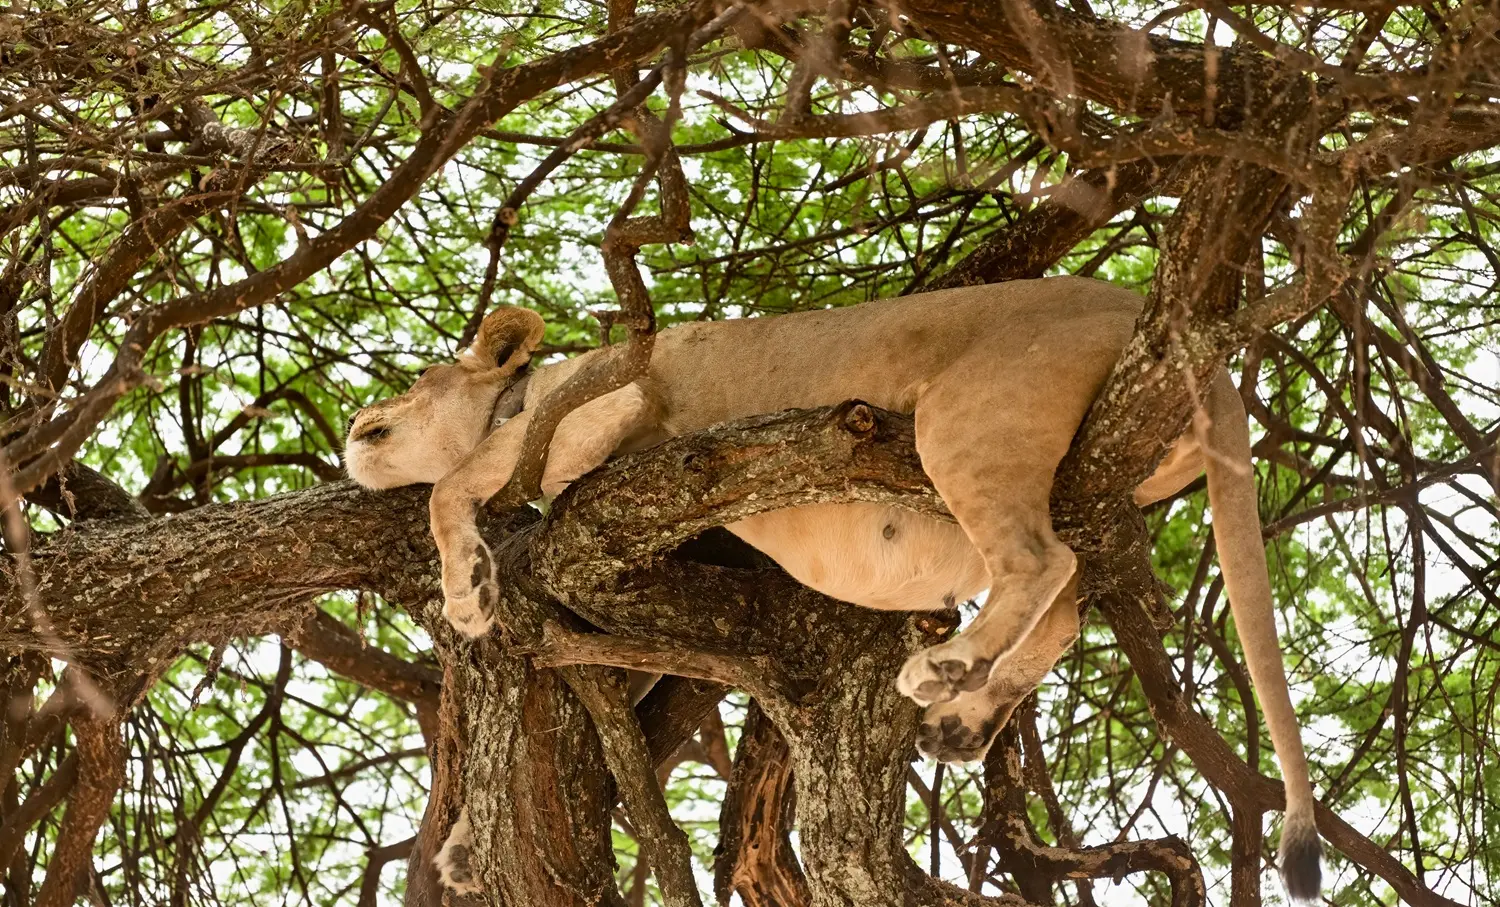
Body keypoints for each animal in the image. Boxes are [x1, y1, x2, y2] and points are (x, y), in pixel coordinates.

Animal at [345, 276, 1321, 899]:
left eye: (415, 382)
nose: (356, 426)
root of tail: (1154, 313)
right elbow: (625, 675)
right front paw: (464, 847)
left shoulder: (609, 406)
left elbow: (454, 483)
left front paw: (470, 587)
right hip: (1084, 485)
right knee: (1066, 603)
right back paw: (962, 718)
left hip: (965, 420)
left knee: (1040, 565)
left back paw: (942, 671)